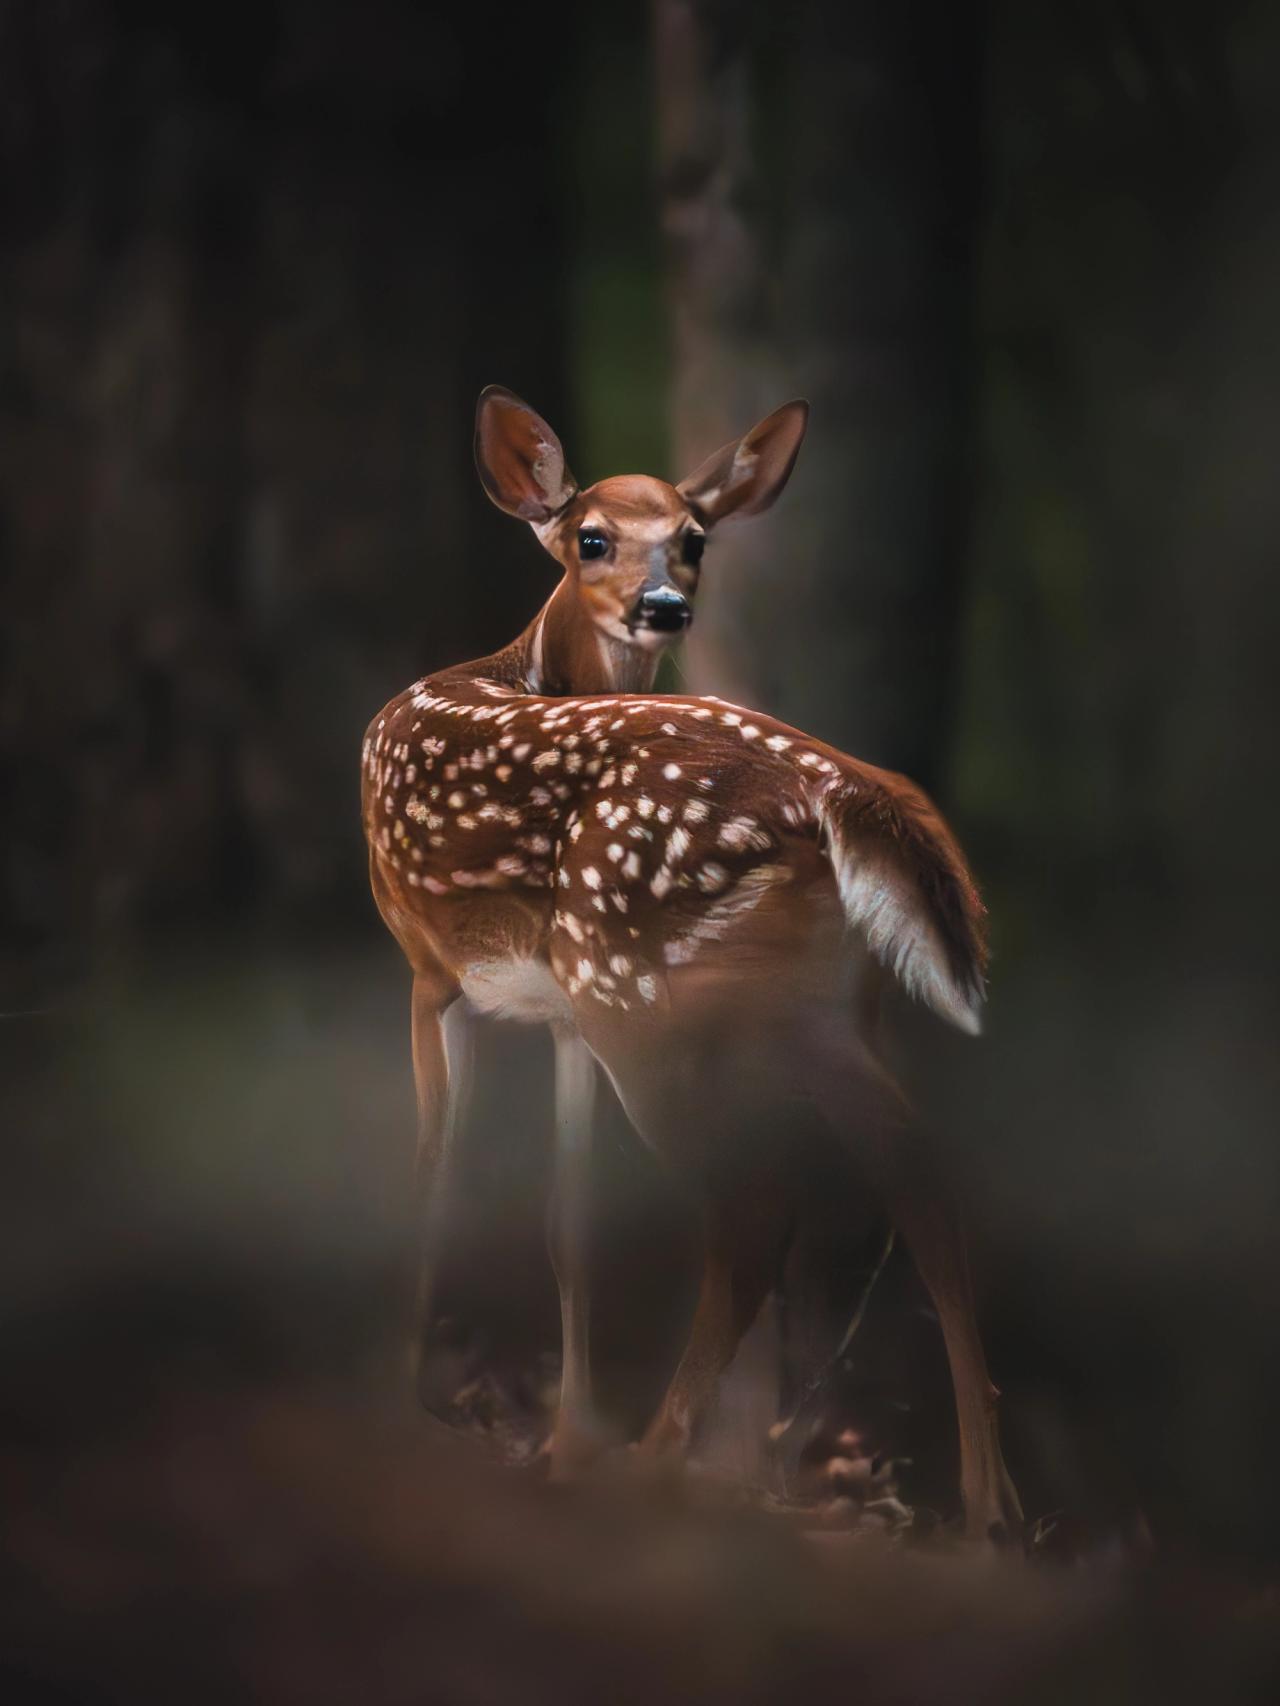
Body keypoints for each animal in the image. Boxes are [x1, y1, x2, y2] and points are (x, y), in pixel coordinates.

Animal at [363, 388, 1024, 1540]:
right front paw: (561, 1440)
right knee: (923, 1183)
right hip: (818, 1007)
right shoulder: (557, 1011)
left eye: (693, 538)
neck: (512, 666)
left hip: (643, 983)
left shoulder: (429, 966)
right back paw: (987, 1513)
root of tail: (841, 785)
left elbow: (433, 1182)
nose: (665, 603)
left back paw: (656, 1457)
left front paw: (415, 1410)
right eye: (590, 537)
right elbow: (566, 1218)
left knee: (754, 1215)